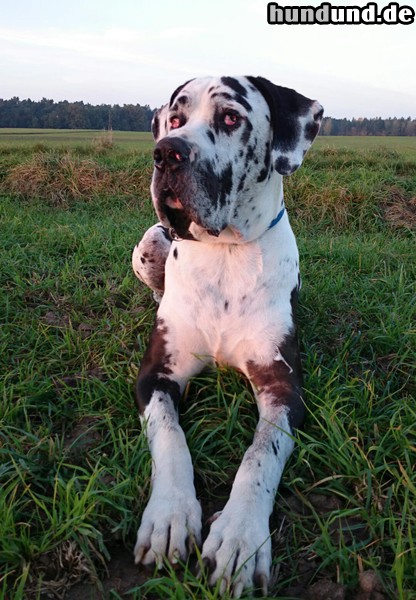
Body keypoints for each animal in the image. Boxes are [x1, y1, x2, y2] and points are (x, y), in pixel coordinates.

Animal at [132, 75, 324, 596]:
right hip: (150, 240)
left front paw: (240, 537)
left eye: (232, 118)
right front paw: (171, 515)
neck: (225, 252)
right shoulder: (155, 375)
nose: (167, 152)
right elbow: (169, 437)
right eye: (175, 119)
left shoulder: (283, 387)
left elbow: (260, 456)